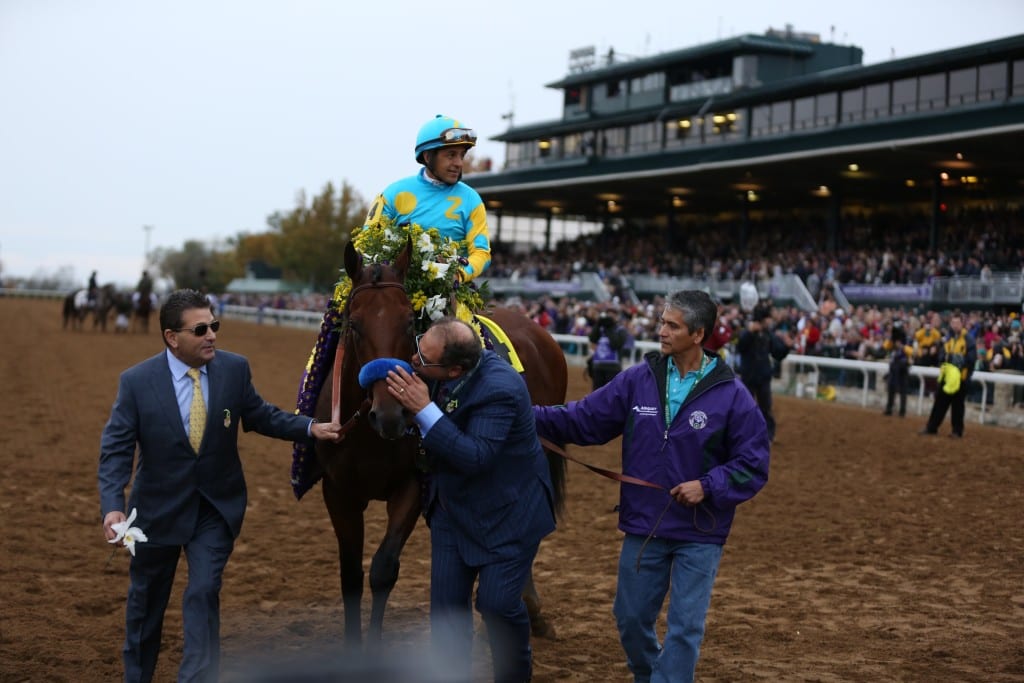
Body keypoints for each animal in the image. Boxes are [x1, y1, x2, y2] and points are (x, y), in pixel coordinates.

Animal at [311, 237, 569, 643]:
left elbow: (383, 569)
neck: (370, 438)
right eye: (354, 323)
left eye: (408, 321)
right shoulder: (338, 492)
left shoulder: (412, 486)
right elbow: (350, 575)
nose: (391, 415)